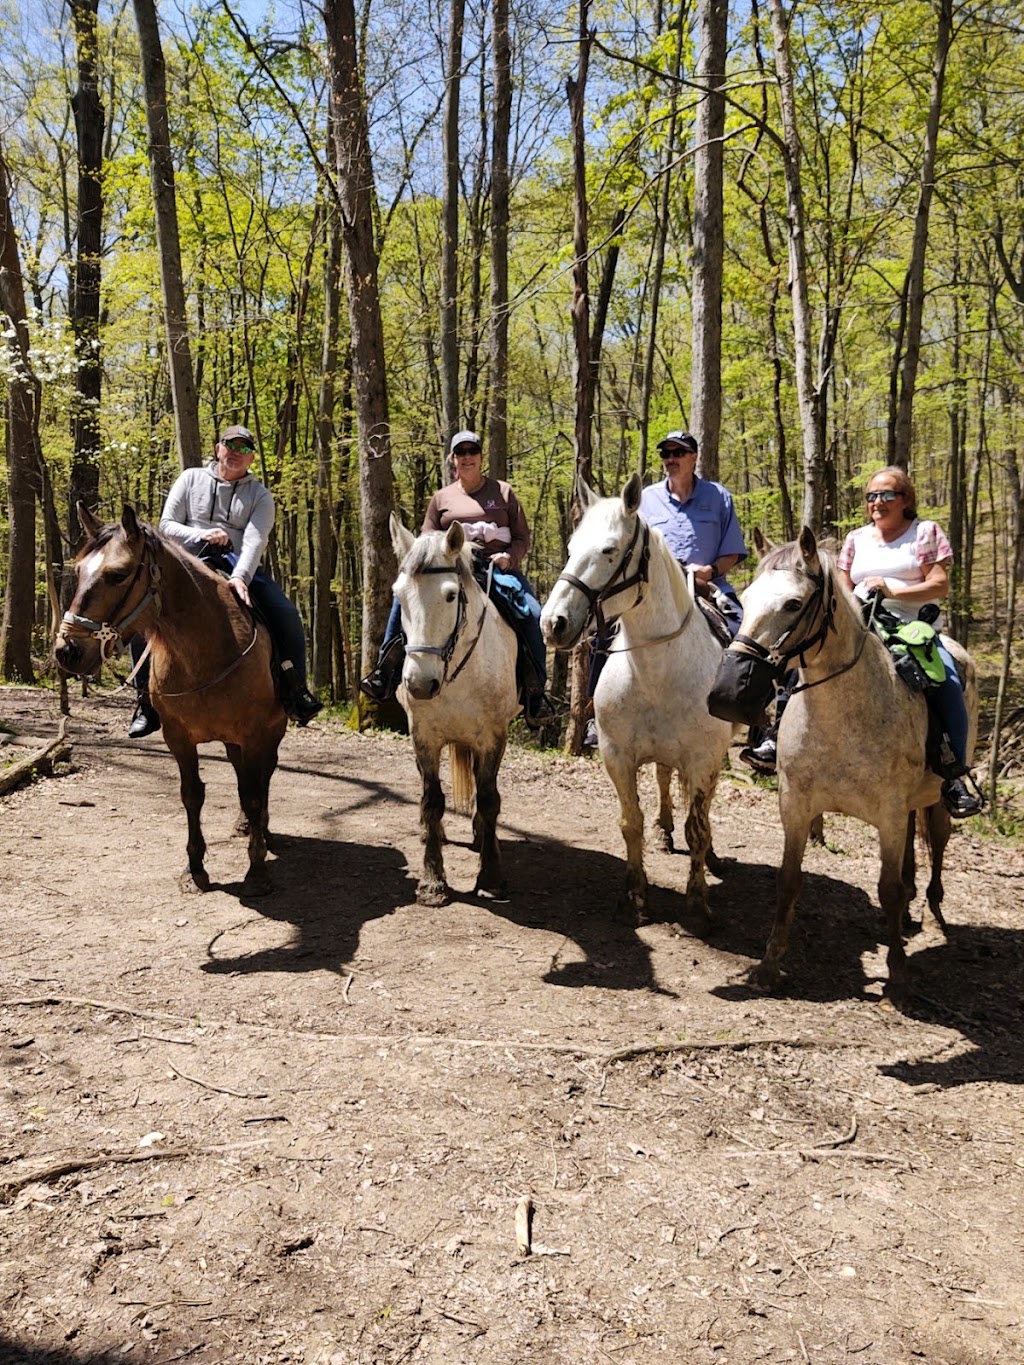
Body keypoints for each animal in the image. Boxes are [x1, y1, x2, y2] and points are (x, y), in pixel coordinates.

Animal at [55, 505, 289, 895]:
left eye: (118, 575)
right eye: (77, 570)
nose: (67, 651)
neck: (206, 652)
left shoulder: (255, 734)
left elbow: (256, 793)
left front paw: (256, 870)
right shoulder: (177, 737)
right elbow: (192, 794)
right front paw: (195, 869)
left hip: (271, 731)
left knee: (263, 777)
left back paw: (262, 829)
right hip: (232, 741)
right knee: (242, 776)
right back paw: (245, 825)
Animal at [390, 513, 524, 906]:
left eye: (451, 595)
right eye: (398, 595)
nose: (420, 685)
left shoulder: (492, 737)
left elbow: (490, 798)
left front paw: (491, 876)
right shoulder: (423, 737)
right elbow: (432, 800)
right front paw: (433, 880)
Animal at [540, 475, 731, 922]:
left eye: (609, 550)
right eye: (571, 547)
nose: (553, 623)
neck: (657, 672)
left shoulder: (703, 759)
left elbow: (698, 827)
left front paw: (698, 900)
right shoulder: (617, 756)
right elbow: (631, 822)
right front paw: (637, 894)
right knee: (662, 778)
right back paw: (664, 830)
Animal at [715, 526, 983, 1010]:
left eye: (793, 604)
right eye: (745, 597)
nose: (727, 692)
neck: (843, 715)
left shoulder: (889, 815)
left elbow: (888, 891)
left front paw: (899, 979)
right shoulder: (796, 806)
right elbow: (788, 881)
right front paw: (769, 967)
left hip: (936, 798)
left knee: (936, 844)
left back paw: (933, 912)